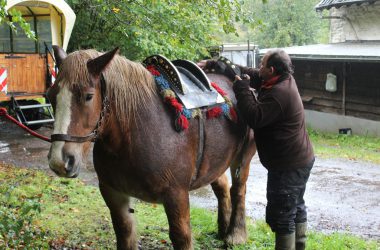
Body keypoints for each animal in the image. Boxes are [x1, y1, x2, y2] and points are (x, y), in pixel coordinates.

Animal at [46, 46, 255, 249]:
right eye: (50, 96)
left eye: (88, 96)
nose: (59, 161)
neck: (132, 134)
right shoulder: (114, 194)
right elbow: (125, 233)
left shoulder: (176, 196)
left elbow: (181, 237)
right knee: (222, 187)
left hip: (243, 157)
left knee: (238, 189)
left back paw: (235, 234)